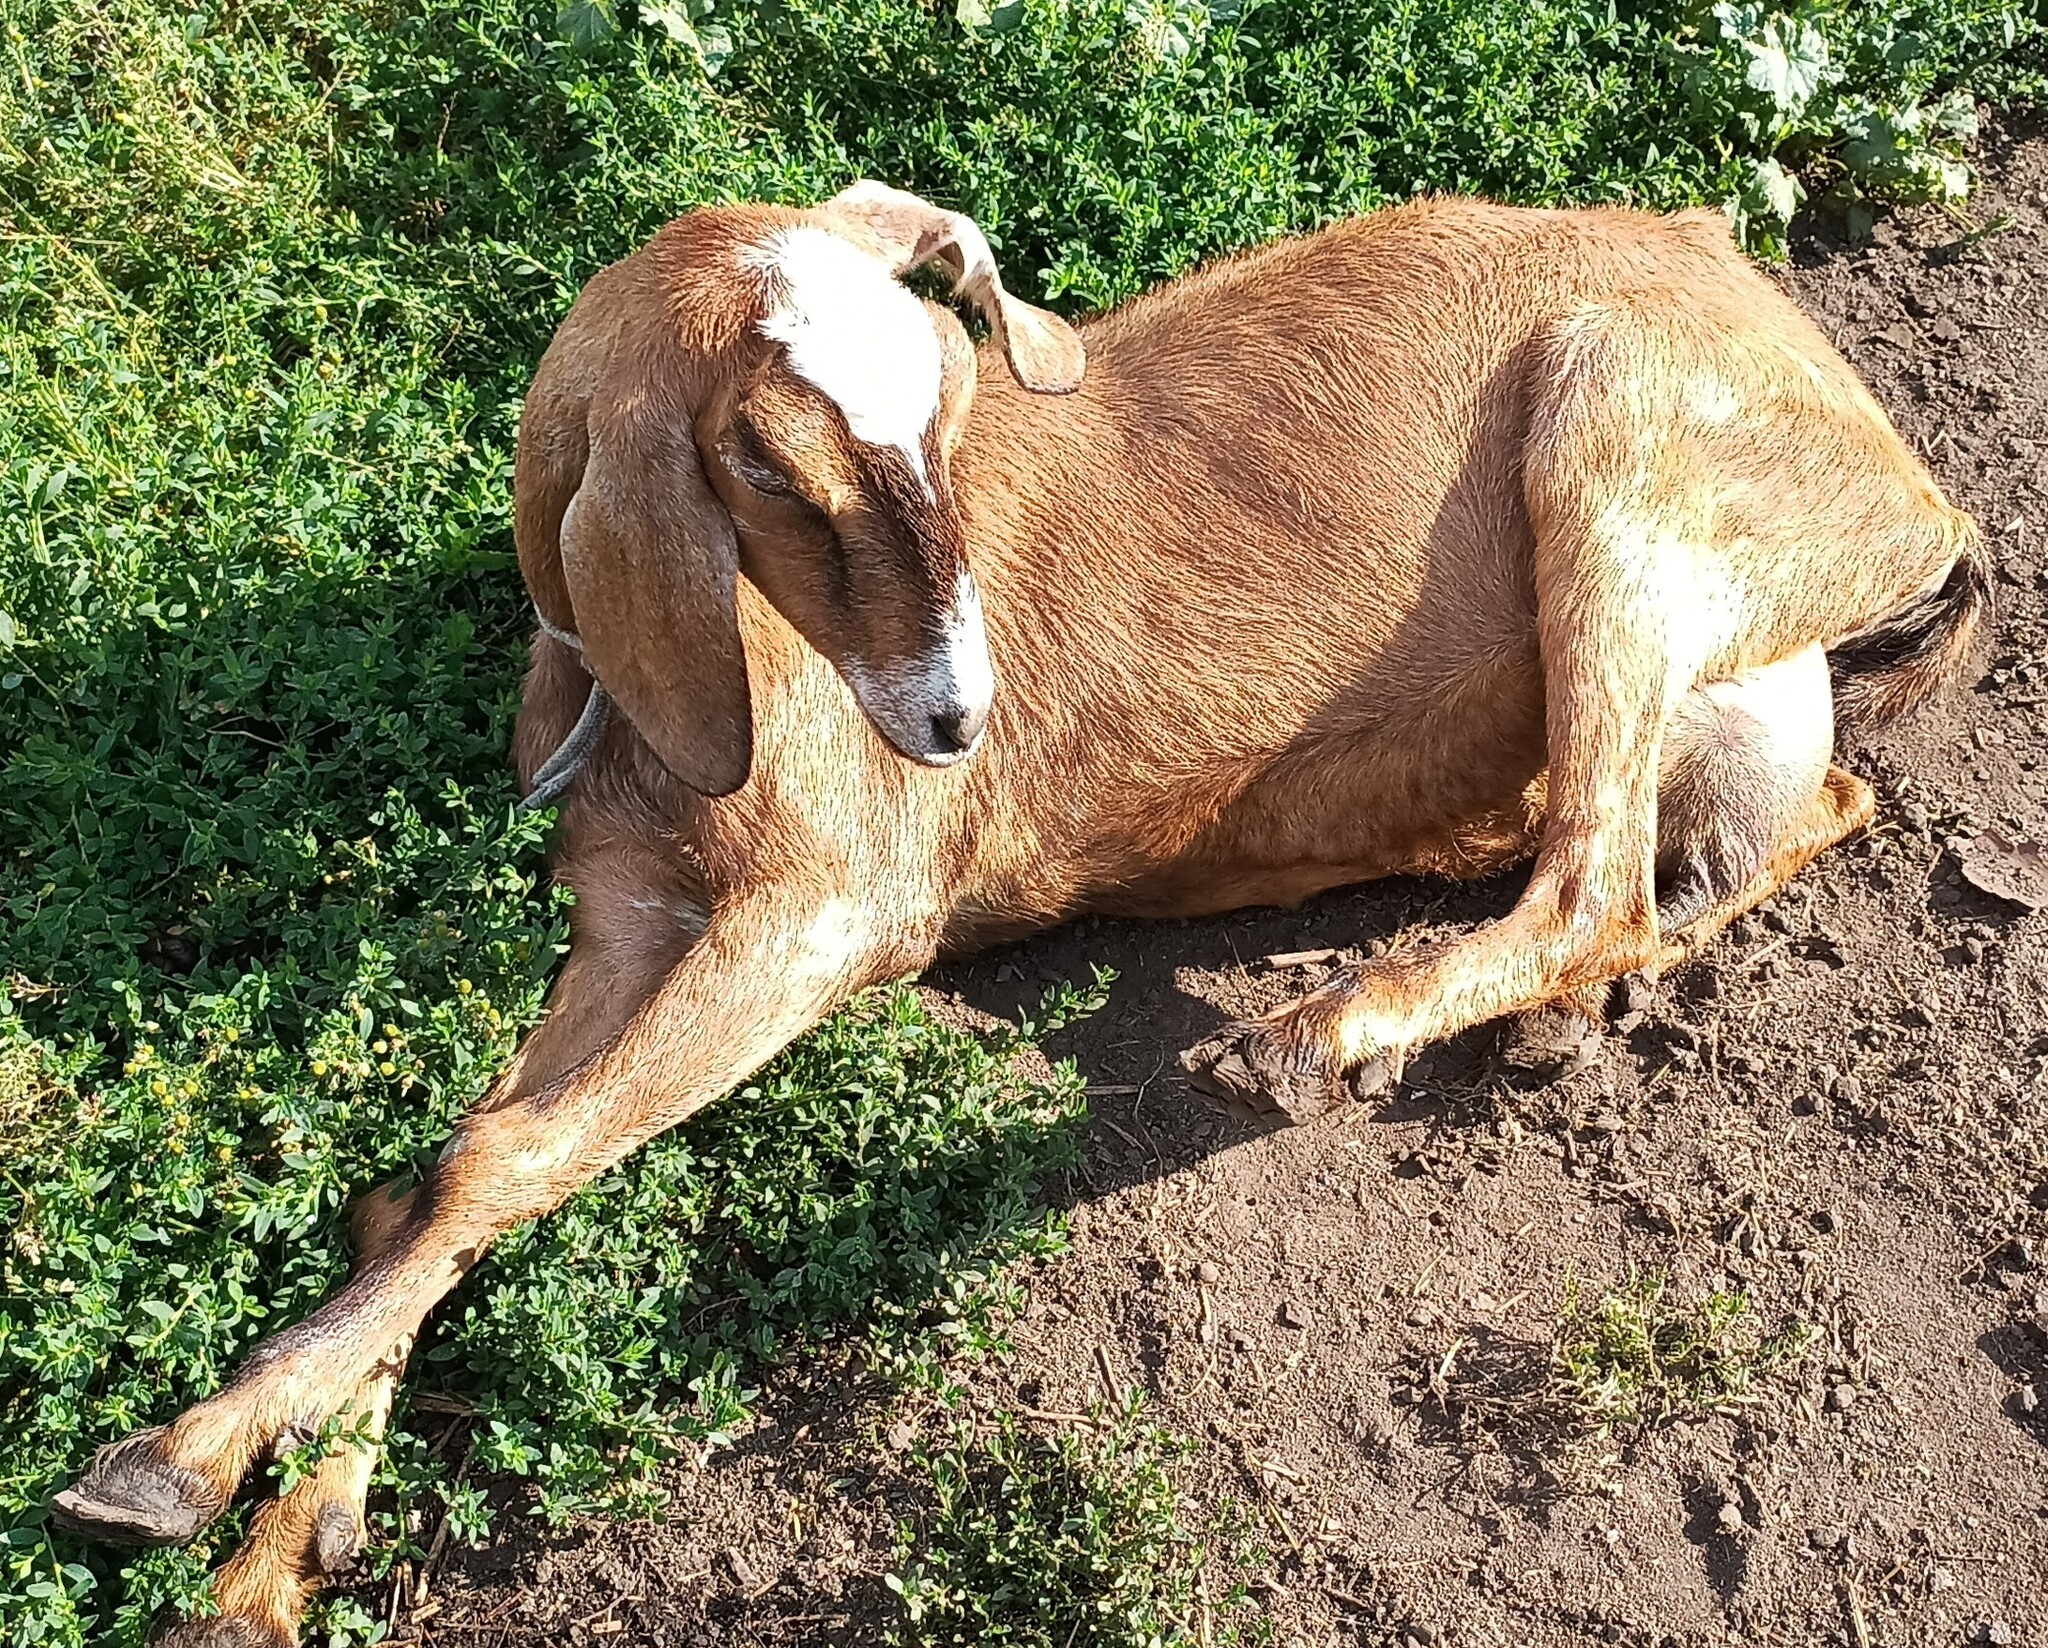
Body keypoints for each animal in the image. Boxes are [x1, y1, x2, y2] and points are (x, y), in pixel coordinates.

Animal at [59, 183, 1982, 1645]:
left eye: (946, 396)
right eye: (770, 469)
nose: (953, 718)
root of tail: (1904, 475)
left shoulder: (831, 913)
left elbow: (499, 1158)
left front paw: (167, 1465)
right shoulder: (627, 919)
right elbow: (437, 1173)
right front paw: (265, 1541)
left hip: (1615, 436)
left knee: (1596, 864)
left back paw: (1315, 1040)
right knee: (1766, 821)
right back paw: (1557, 1014)